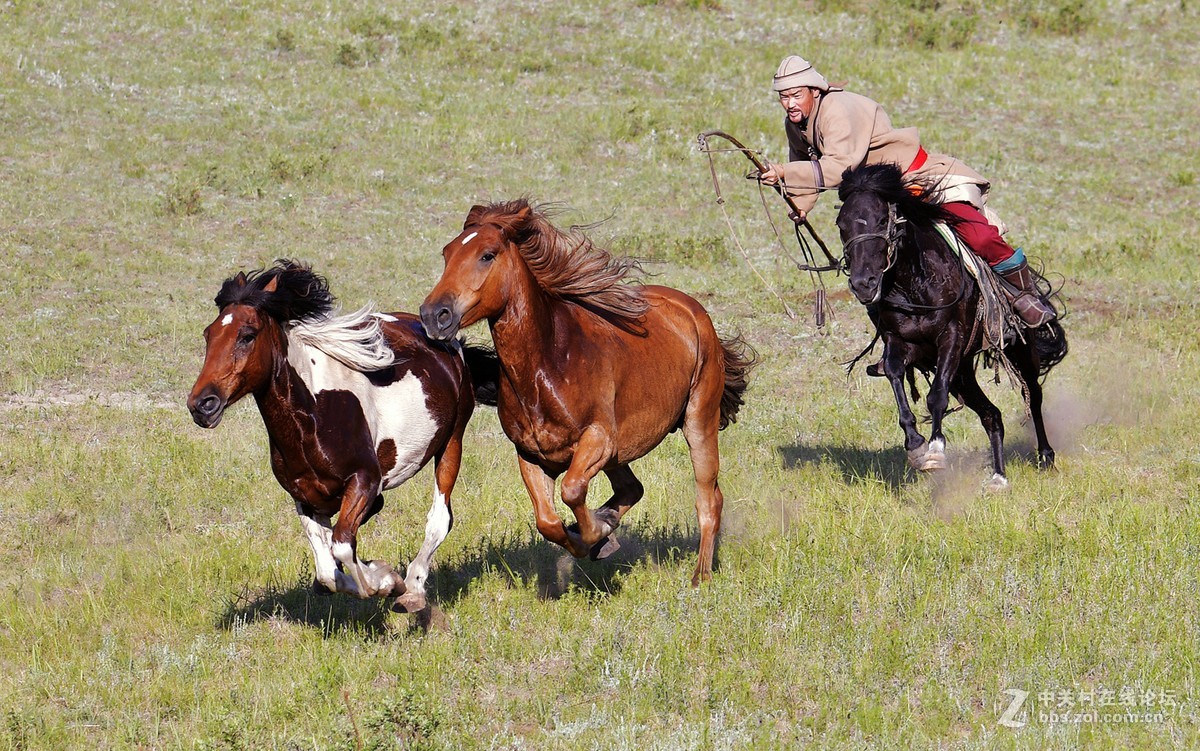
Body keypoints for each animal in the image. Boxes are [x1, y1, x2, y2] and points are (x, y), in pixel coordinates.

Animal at [184, 256, 494, 609]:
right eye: (208, 335)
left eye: (247, 335)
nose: (202, 404)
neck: (313, 417)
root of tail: (448, 342)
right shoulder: (306, 497)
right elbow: (326, 570)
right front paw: (371, 576)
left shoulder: (365, 481)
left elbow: (343, 545)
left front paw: (387, 581)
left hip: (451, 441)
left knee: (439, 520)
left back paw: (413, 590)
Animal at [420, 200, 748, 585]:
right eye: (447, 253)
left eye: (487, 255)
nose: (434, 315)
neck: (549, 363)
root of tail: (693, 310)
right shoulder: (532, 455)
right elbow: (547, 521)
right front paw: (596, 534)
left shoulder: (598, 440)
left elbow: (572, 489)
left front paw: (597, 533)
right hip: (621, 454)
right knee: (632, 488)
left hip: (698, 423)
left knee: (709, 499)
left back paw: (700, 577)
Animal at [835, 163, 1070, 489]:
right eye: (841, 225)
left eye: (883, 220)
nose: (863, 284)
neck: (914, 282)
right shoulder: (899, 342)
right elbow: (895, 376)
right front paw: (915, 445)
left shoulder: (952, 337)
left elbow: (936, 396)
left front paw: (935, 450)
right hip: (963, 373)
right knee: (992, 415)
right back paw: (998, 477)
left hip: (1019, 352)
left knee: (1033, 396)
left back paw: (1046, 456)